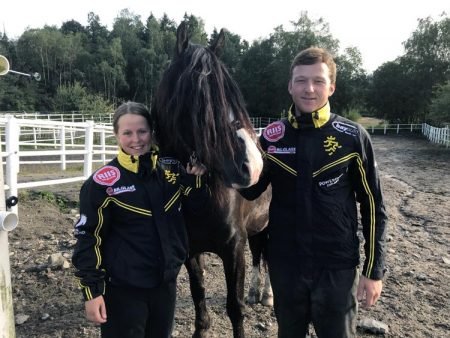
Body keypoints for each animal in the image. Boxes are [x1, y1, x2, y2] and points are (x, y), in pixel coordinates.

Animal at [151, 22, 272, 336]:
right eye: (198, 97)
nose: (254, 166)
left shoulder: (234, 248)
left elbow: (235, 309)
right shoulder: (191, 252)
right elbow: (199, 296)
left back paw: (267, 294)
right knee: (260, 254)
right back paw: (256, 292)